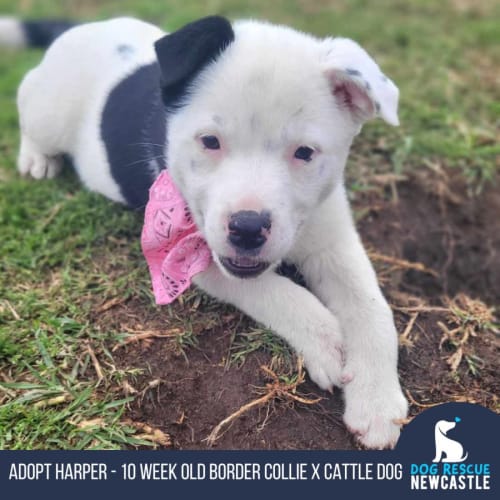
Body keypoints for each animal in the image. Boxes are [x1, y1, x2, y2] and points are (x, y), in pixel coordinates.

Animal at [5, 15, 408, 448]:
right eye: (210, 142)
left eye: (305, 153)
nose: (247, 229)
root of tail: (83, 27)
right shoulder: (190, 252)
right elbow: (277, 292)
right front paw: (327, 341)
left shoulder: (333, 241)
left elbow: (371, 308)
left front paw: (377, 401)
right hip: (46, 111)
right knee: (27, 108)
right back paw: (36, 158)